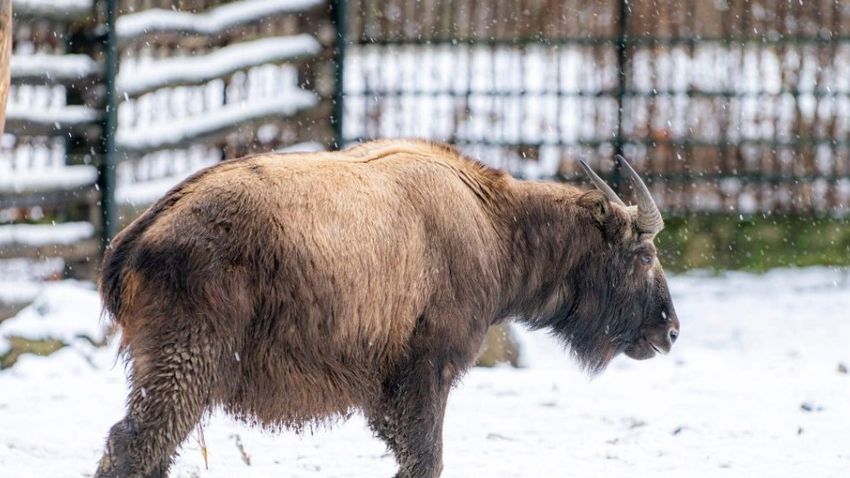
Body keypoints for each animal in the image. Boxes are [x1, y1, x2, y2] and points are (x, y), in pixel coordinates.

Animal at [94, 139, 676, 478]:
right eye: (645, 254)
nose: (669, 331)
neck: (493, 223)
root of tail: (143, 230)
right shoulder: (425, 374)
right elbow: (426, 459)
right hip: (187, 366)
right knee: (134, 446)